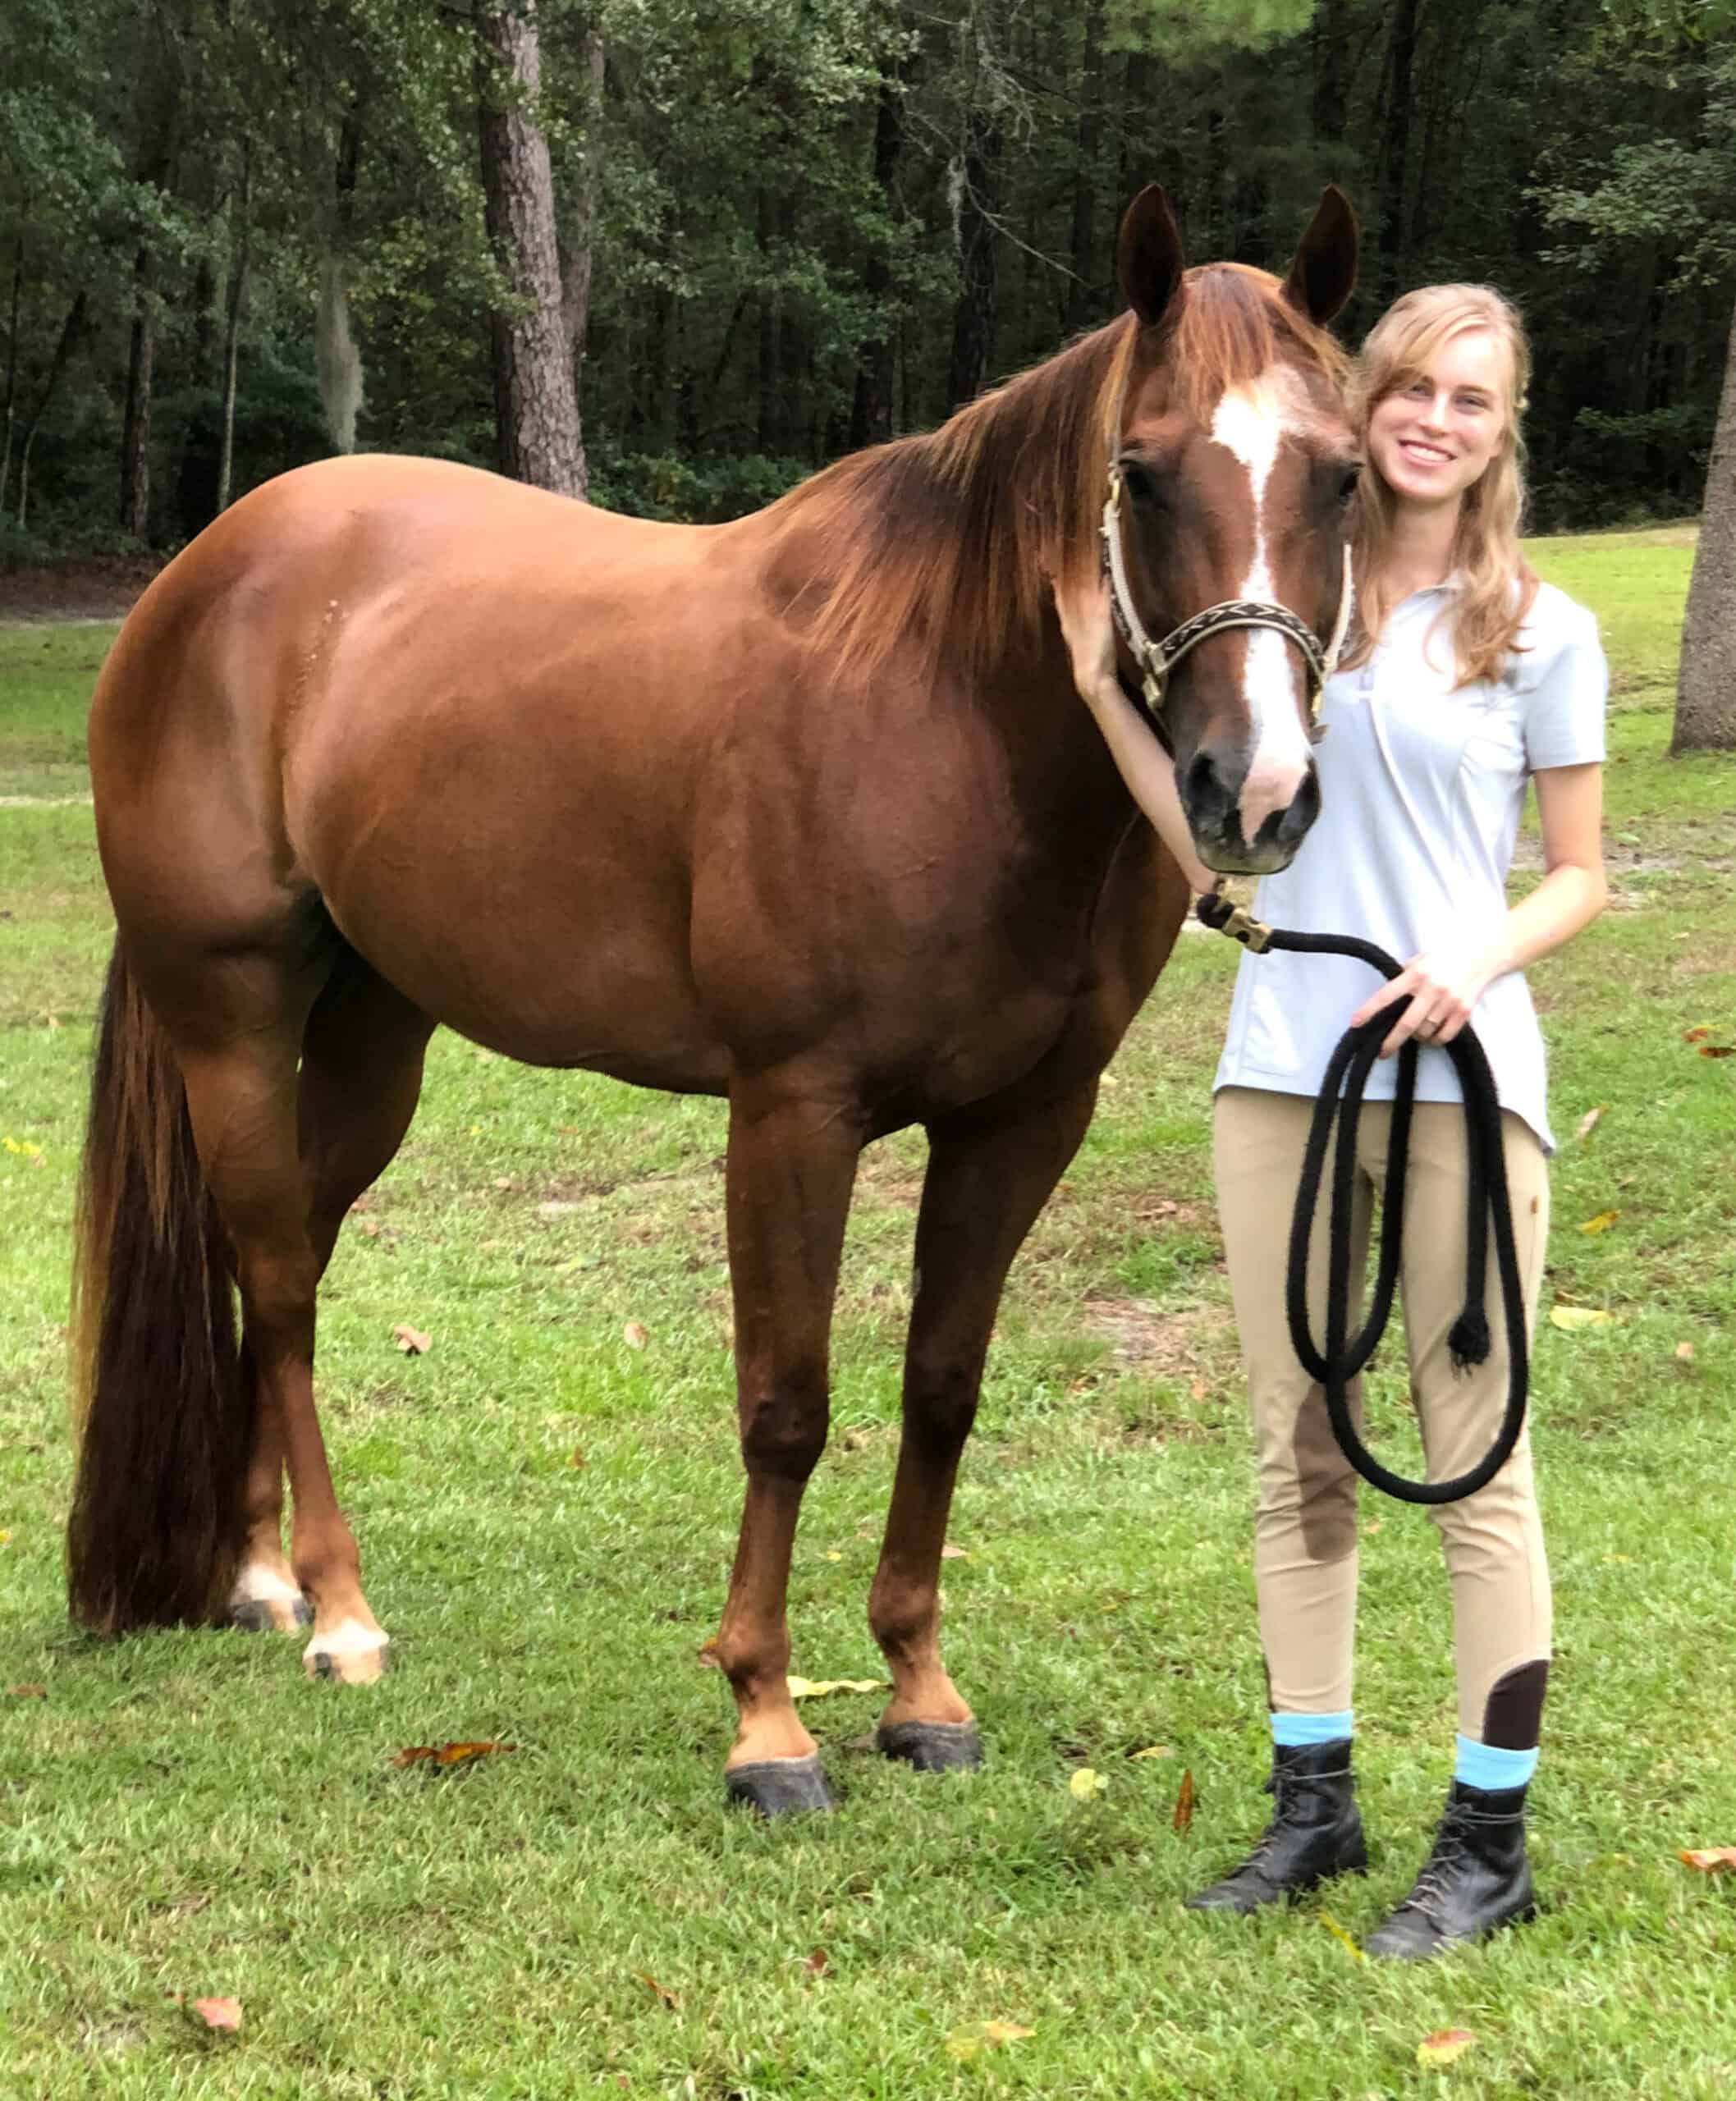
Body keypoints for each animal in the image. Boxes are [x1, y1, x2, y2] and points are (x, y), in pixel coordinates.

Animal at [67, 186, 1359, 1814]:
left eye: (1344, 476)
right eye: (1140, 470)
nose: (1253, 792)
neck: (939, 707)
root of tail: (205, 572)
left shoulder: (1022, 1122)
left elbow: (941, 1386)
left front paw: (918, 1691)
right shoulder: (791, 1110)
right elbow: (786, 1404)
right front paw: (765, 1721)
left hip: (372, 1039)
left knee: (279, 1255)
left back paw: (254, 1571)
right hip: (230, 1015)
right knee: (282, 1276)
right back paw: (338, 1611)